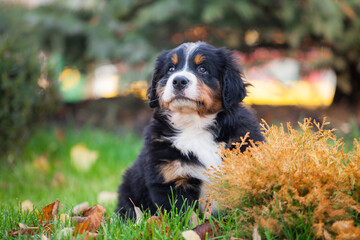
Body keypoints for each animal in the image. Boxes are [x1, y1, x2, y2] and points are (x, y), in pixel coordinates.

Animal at [116, 41, 262, 218]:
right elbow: (186, 217)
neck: (194, 125)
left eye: (203, 69)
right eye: (171, 69)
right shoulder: (171, 179)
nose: (179, 80)